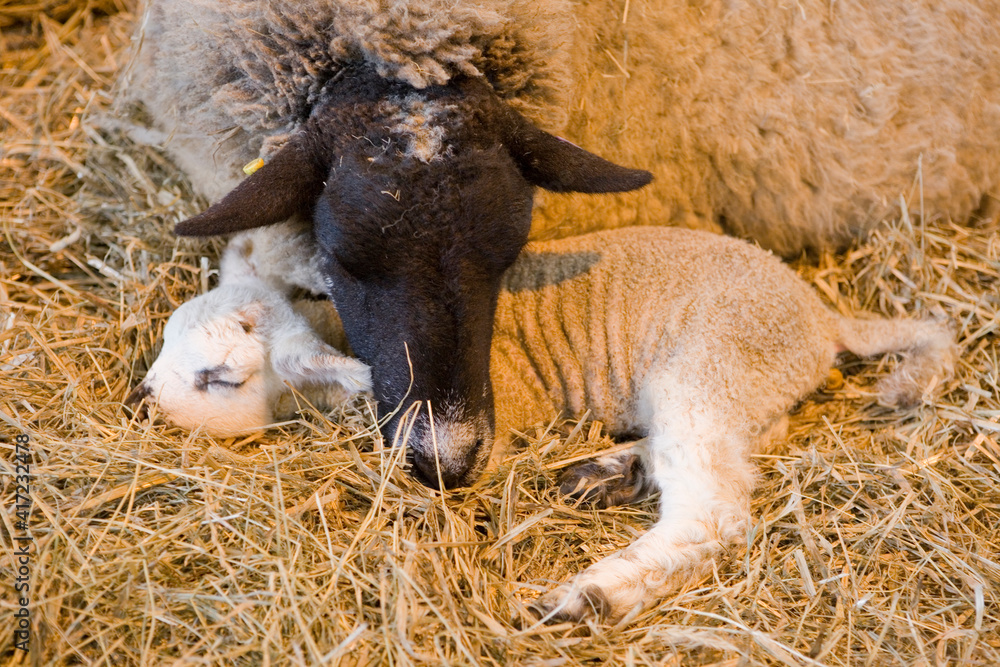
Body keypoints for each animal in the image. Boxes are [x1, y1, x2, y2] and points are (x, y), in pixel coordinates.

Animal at [128, 223, 956, 623]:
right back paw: (606, 474)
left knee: (714, 507)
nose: (142, 396)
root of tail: (823, 319)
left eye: (220, 376)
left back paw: (595, 594)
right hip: (739, 390)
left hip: (711, 366)